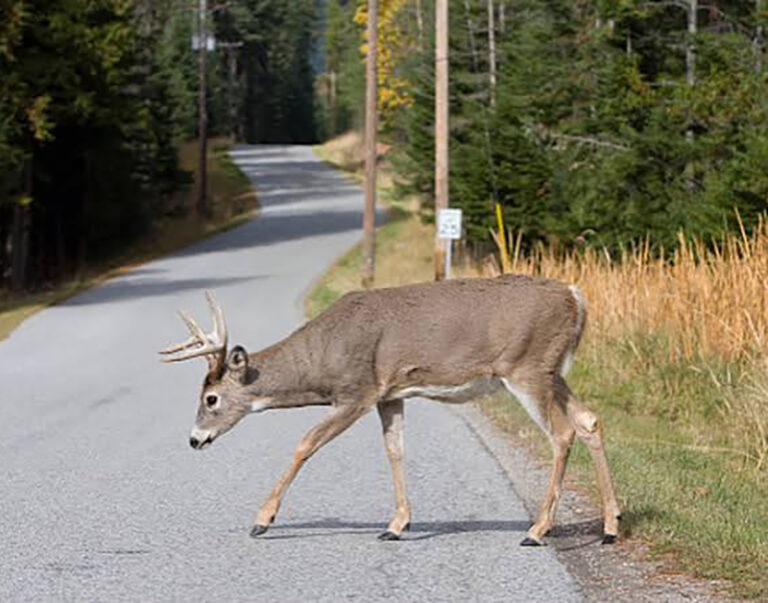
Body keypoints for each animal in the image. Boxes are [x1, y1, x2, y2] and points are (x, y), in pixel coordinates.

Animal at [160, 276, 621, 546]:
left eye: (210, 399)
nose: (194, 439)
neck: (322, 359)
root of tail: (575, 296)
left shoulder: (356, 391)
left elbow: (305, 443)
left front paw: (262, 519)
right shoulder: (390, 394)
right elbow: (395, 451)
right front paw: (396, 525)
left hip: (526, 367)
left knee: (561, 434)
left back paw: (538, 530)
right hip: (551, 371)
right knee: (589, 421)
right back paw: (611, 525)